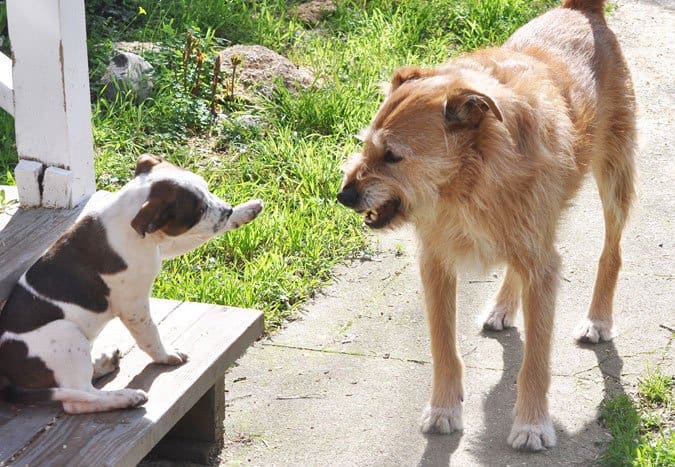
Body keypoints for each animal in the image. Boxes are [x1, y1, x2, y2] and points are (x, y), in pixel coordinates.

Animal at [0, 155, 264, 414]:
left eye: (208, 188)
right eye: (199, 210)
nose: (227, 210)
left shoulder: (161, 245)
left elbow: (199, 237)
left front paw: (247, 210)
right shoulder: (134, 306)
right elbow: (150, 335)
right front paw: (166, 356)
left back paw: (103, 363)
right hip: (66, 335)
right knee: (78, 398)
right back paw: (126, 397)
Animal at [340, 0, 636, 454]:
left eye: (392, 156)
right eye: (366, 146)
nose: (344, 195)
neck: (468, 180)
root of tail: (582, 11)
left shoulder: (543, 267)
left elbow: (536, 360)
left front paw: (531, 424)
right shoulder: (436, 263)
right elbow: (443, 345)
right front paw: (444, 409)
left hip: (614, 179)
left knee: (612, 251)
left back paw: (598, 319)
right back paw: (502, 307)